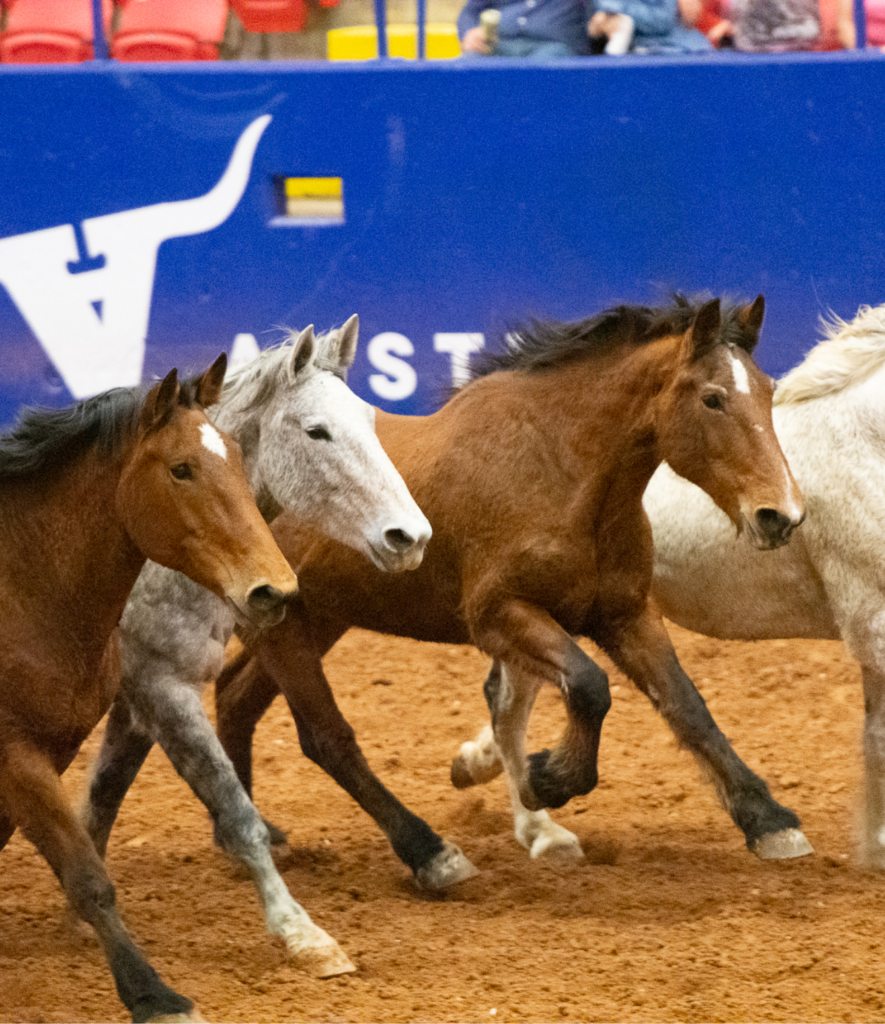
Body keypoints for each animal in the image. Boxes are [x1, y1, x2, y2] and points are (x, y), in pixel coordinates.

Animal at [0, 358, 297, 1024]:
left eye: (235, 454)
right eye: (181, 468)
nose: (275, 590)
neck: (20, 586)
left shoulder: (54, 748)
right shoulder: (15, 755)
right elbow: (88, 877)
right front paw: (154, 995)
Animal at [81, 315, 477, 978]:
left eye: (371, 420)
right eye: (316, 431)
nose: (410, 536)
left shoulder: (139, 698)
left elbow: (101, 800)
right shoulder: (160, 685)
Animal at [211, 292, 807, 876]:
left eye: (768, 392)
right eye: (712, 399)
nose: (781, 515)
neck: (562, 472)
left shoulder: (625, 614)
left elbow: (686, 706)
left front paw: (769, 821)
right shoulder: (500, 615)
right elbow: (588, 686)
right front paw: (547, 780)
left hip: (313, 616)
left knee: (235, 699)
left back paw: (254, 838)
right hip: (281, 629)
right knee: (325, 736)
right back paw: (427, 853)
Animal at [456, 301, 885, 864]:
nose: (784, 518)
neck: (869, 443)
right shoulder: (870, 622)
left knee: (505, 697)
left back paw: (491, 777)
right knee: (507, 703)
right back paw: (542, 830)